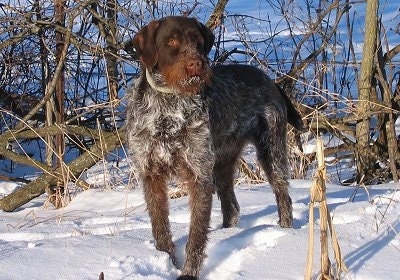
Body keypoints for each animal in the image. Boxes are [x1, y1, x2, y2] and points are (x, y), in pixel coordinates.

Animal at [125, 15, 304, 280]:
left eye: (197, 40)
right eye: (171, 41)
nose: (196, 64)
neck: (168, 109)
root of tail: (269, 80)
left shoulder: (199, 175)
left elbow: (197, 235)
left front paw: (189, 273)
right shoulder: (151, 174)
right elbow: (160, 227)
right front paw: (165, 259)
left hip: (271, 153)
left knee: (284, 197)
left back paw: (286, 233)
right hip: (222, 164)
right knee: (232, 207)